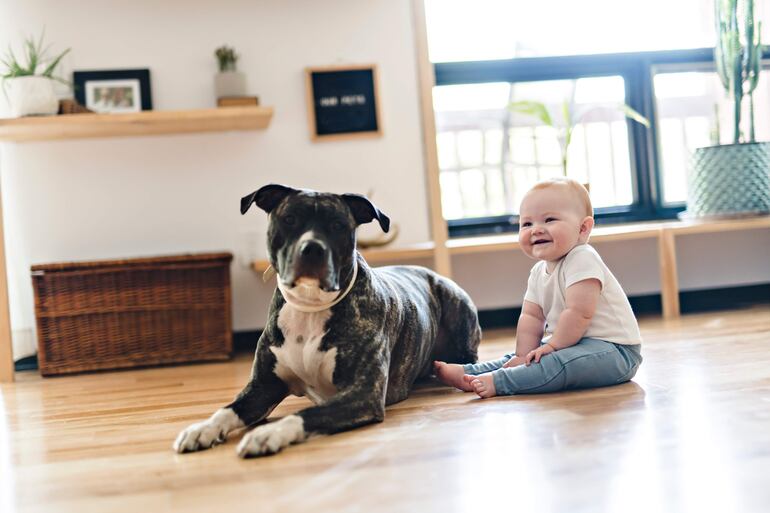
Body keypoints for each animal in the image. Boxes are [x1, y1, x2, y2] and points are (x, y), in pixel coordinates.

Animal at [172, 184, 480, 456]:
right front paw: (202, 429)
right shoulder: (262, 388)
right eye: (289, 219)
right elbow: (228, 410)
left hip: (457, 306)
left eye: (338, 225)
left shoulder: (362, 394)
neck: (311, 306)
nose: (312, 248)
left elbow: (307, 413)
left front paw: (268, 433)